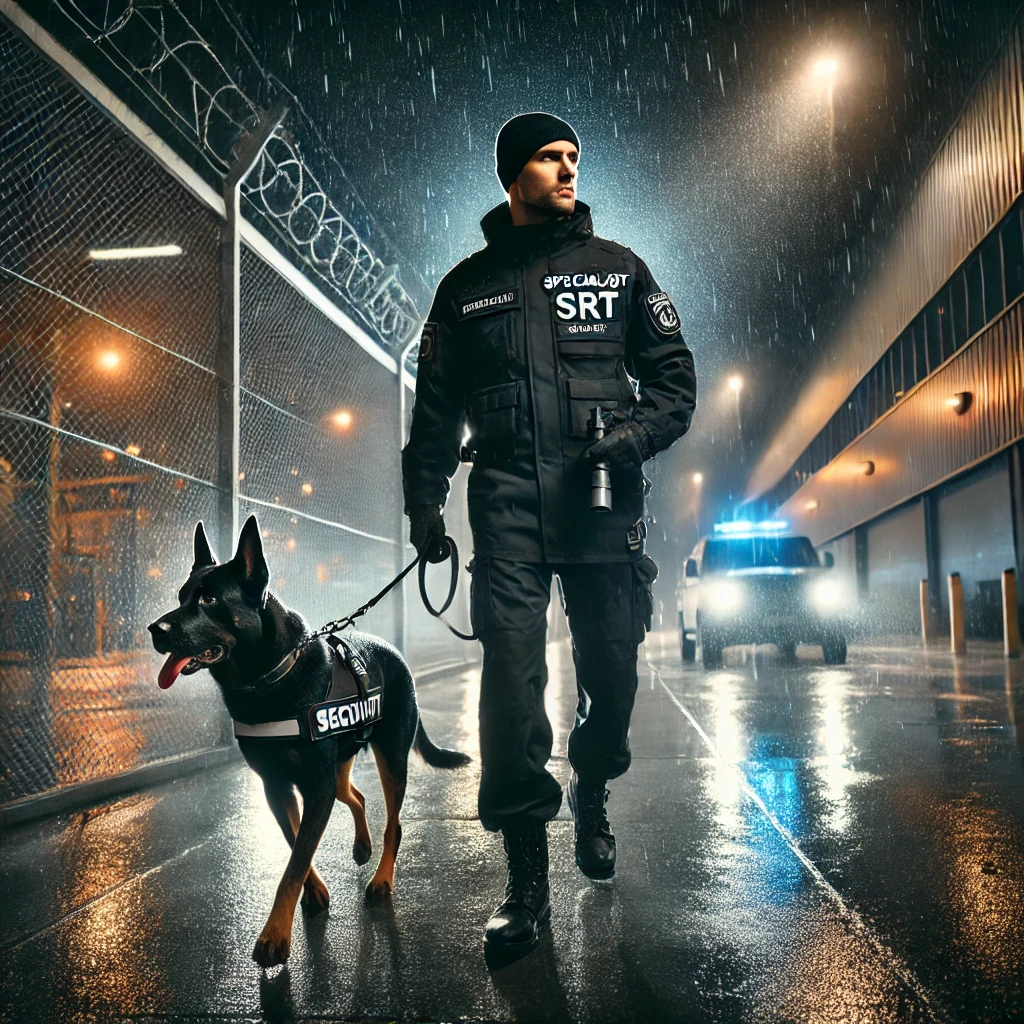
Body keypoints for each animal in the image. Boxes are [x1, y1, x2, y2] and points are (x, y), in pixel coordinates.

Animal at [148, 520, 468, 966]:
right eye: (181, 596)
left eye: (209, 599)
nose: (154, 630)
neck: (271, 676)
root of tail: (395, 653)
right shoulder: (279, 786)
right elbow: (295, 842)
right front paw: (313, 893)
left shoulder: (315, 787)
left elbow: (295, 862)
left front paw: (275, 934)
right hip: (340, 766)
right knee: (355, 796)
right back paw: (362, 847)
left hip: (390, 759)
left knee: (394, 824)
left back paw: (381, 877)